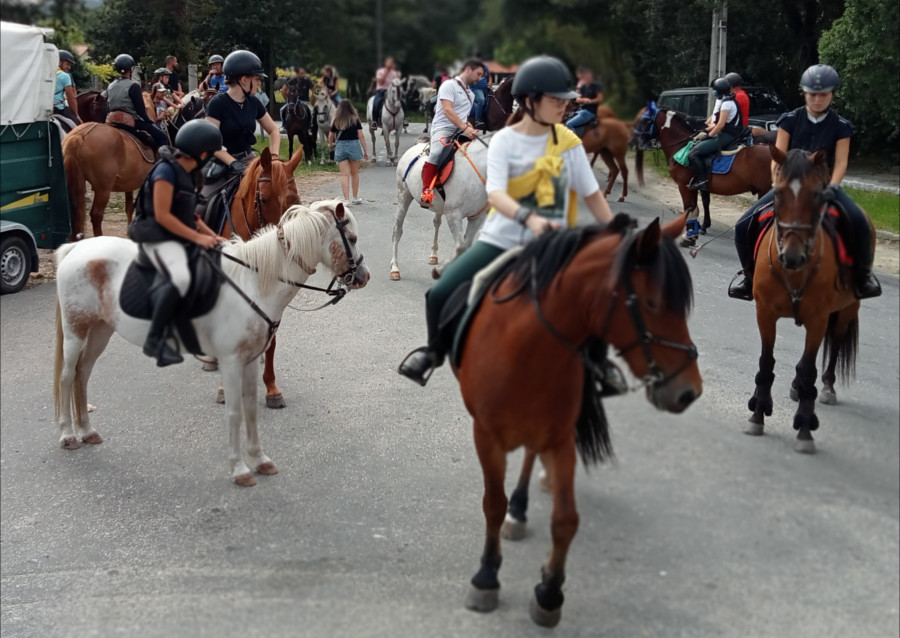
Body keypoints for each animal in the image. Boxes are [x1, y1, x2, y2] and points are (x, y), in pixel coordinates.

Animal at [53, 202, 370, 488]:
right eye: (352, 238)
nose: (363, 277)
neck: (253, 282)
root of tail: (76, 250)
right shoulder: (229, 363)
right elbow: (234, 412)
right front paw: (240, 469)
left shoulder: (250, 361)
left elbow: (250, 409)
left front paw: (259, 460)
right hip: (75, 331)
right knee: (68, 377)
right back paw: (68, 435)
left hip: (100, 331)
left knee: (82, 375)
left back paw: (87, 430)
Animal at [454, 215, 700, 632]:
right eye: (652, 303)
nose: (688, 392)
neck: (527, 346)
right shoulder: (485, 435)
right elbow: (493, 504)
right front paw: (486, 577)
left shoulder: (561, 437)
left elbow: (566, 520)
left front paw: (549, 593)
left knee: (530, 456)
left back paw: (521, 509)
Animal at [632, 105, 772, 245]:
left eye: (645, 120)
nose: (633, 140)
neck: (681, 145)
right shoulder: (696, 187)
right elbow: (698, 207)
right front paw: (697, 231)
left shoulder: (684, 186)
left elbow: (689, 209)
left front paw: (690, 236)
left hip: (764, 191)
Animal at [740, 146, 876, 456]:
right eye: (777, 193)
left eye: (816, 195)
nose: (792, 256)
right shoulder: (764, 313)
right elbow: (766, 362)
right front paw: (758, 413)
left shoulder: (817, 319)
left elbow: (808, 369)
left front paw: (804, 426)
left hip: (847, 309)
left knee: (834, 346)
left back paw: (827, 388)